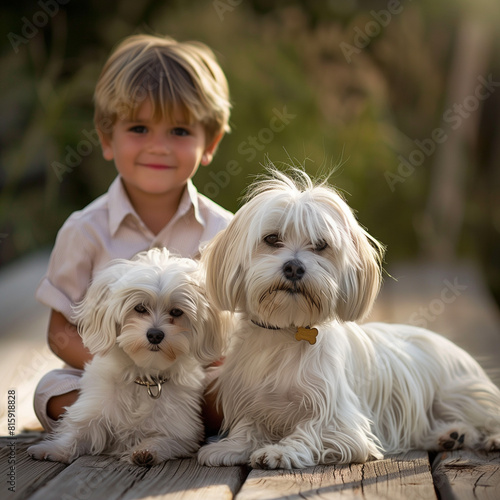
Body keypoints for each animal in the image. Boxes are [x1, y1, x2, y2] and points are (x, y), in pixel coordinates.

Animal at [28, 248, 228, 466]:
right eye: (139, 308)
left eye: (176, 312)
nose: (155, 334)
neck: (145, 378)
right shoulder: (95, 411)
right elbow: (78, 432)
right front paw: (53, 449)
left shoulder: (181, 431)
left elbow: (165, 439)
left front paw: (146, 451)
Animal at [197, 169, 500, 468]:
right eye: (272, 239)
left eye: (321, 245)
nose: (294, 267)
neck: (285, 331)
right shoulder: (251, 399)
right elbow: (249, 426)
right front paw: (231, 447)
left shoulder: (339, 419)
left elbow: (310, 431)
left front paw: (279, 451)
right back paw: (451, 435)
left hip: (458, 395)